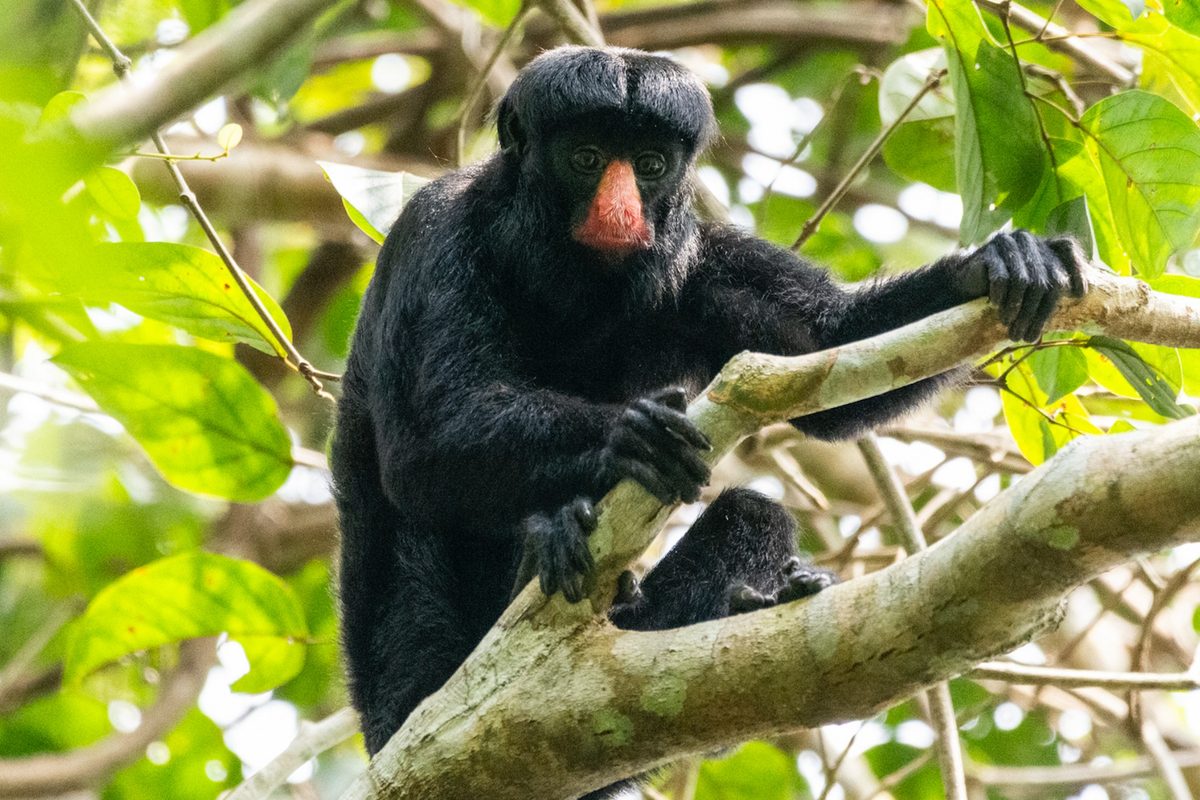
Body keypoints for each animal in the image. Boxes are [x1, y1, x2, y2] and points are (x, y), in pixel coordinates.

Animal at [331, 45, 1088, 796]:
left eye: (649, 165)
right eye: (586, 157)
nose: (621, 213)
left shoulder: (698, 257)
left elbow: (830, 347)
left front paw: (989, 265)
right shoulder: (434, 232)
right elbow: (423, 448)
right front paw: (628, 438)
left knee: (755, 513)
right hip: (410, 679)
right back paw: (548, 548)